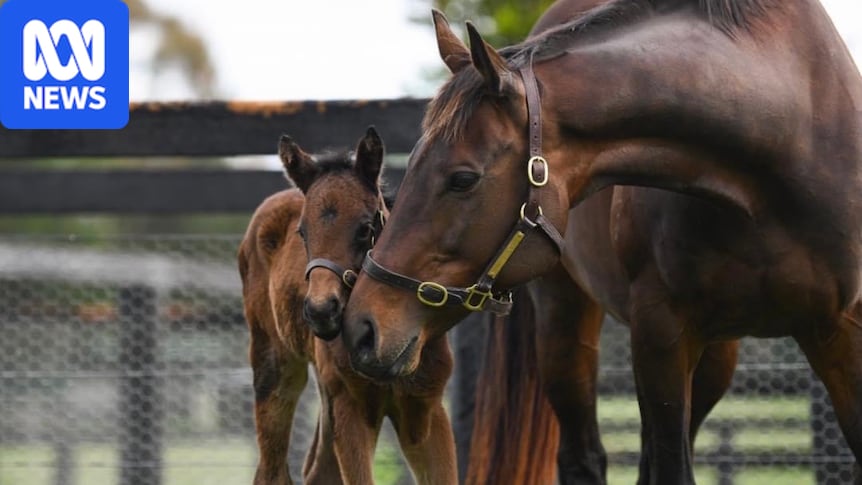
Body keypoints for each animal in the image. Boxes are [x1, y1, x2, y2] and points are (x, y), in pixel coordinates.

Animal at [238, 128, 456, 485]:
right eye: (303, 232)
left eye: (366, 228)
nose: (321, 310)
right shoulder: (351, 406)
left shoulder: (425, 407)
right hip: (275, 367)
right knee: (272, 470)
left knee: (318, 469)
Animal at [342, 1, 862, 484]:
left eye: (462, 179)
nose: (361, 327)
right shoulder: (660, 334)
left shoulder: (839, 331)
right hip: (564, 329)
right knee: (583, 457)